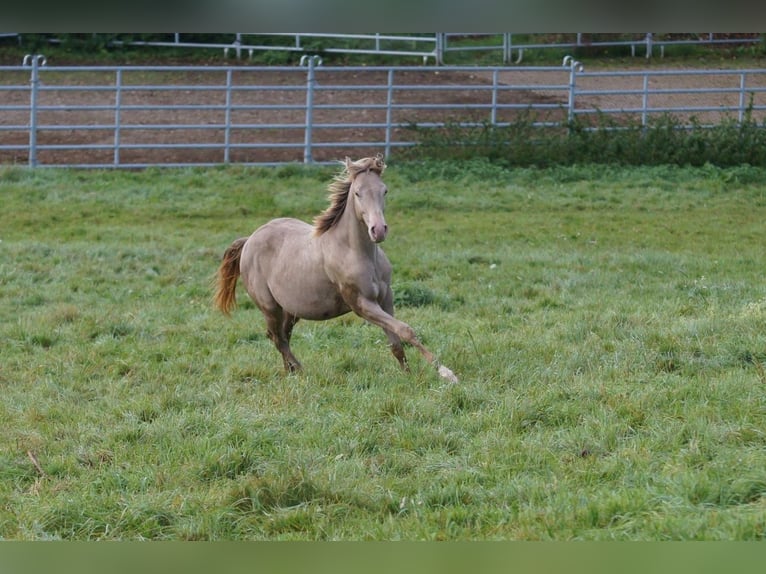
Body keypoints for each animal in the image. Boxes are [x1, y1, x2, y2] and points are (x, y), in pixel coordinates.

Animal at [213, 155, 460, 384]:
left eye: (385, 191)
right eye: (358, 193)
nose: (378, 230)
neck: (356, 252)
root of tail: (249, 240)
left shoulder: (386, 298)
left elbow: (396, 341)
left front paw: (409, 376)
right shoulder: (362, 304)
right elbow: (406, 330)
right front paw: (447, 373)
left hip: (291, 310)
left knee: (282, 335)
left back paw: (290, 372)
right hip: (269, 306)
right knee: (276, 337)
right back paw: (299, 370)